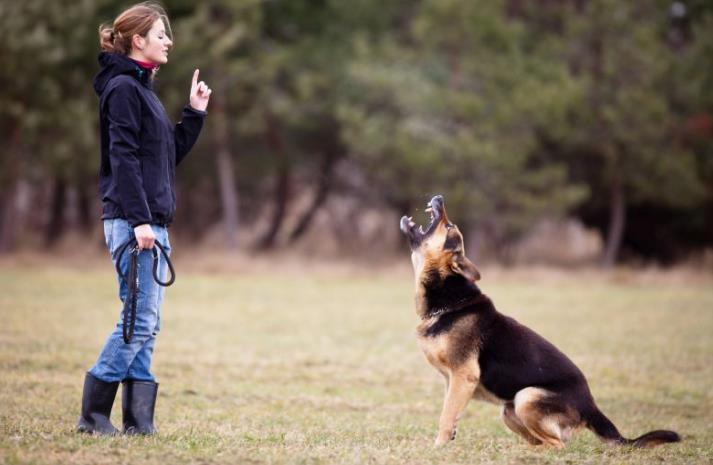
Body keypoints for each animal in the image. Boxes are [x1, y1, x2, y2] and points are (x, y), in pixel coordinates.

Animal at [398, 195, 680, 446]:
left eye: (449, 227)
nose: (439, 197)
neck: (448, 302)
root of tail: (590, 406)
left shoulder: (463, 376)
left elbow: (446, 417)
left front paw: (438, 447)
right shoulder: (452, 382)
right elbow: (451, 413)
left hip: (526, 397)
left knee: (558, 445)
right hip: (509, 410)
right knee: (542, 442)